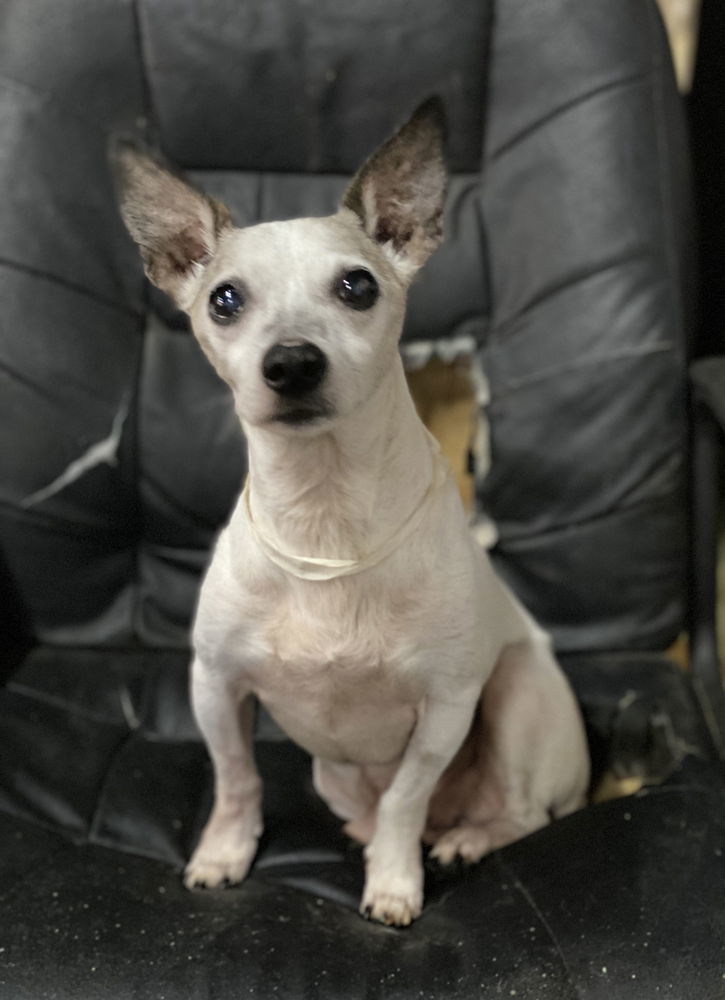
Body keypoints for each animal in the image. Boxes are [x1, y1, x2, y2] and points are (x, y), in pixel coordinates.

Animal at [113, 97, 588, 924]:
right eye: (224, 300)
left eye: (358, 287)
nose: (291, 362)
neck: (325, 512)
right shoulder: (216, 687)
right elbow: (237, 780)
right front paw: (224, 853)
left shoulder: (445, 708)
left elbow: (406, 797)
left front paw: (393, 881)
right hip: (330, 773)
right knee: (371, 806)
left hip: (515, 698)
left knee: (515, 812)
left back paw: (461, 839)